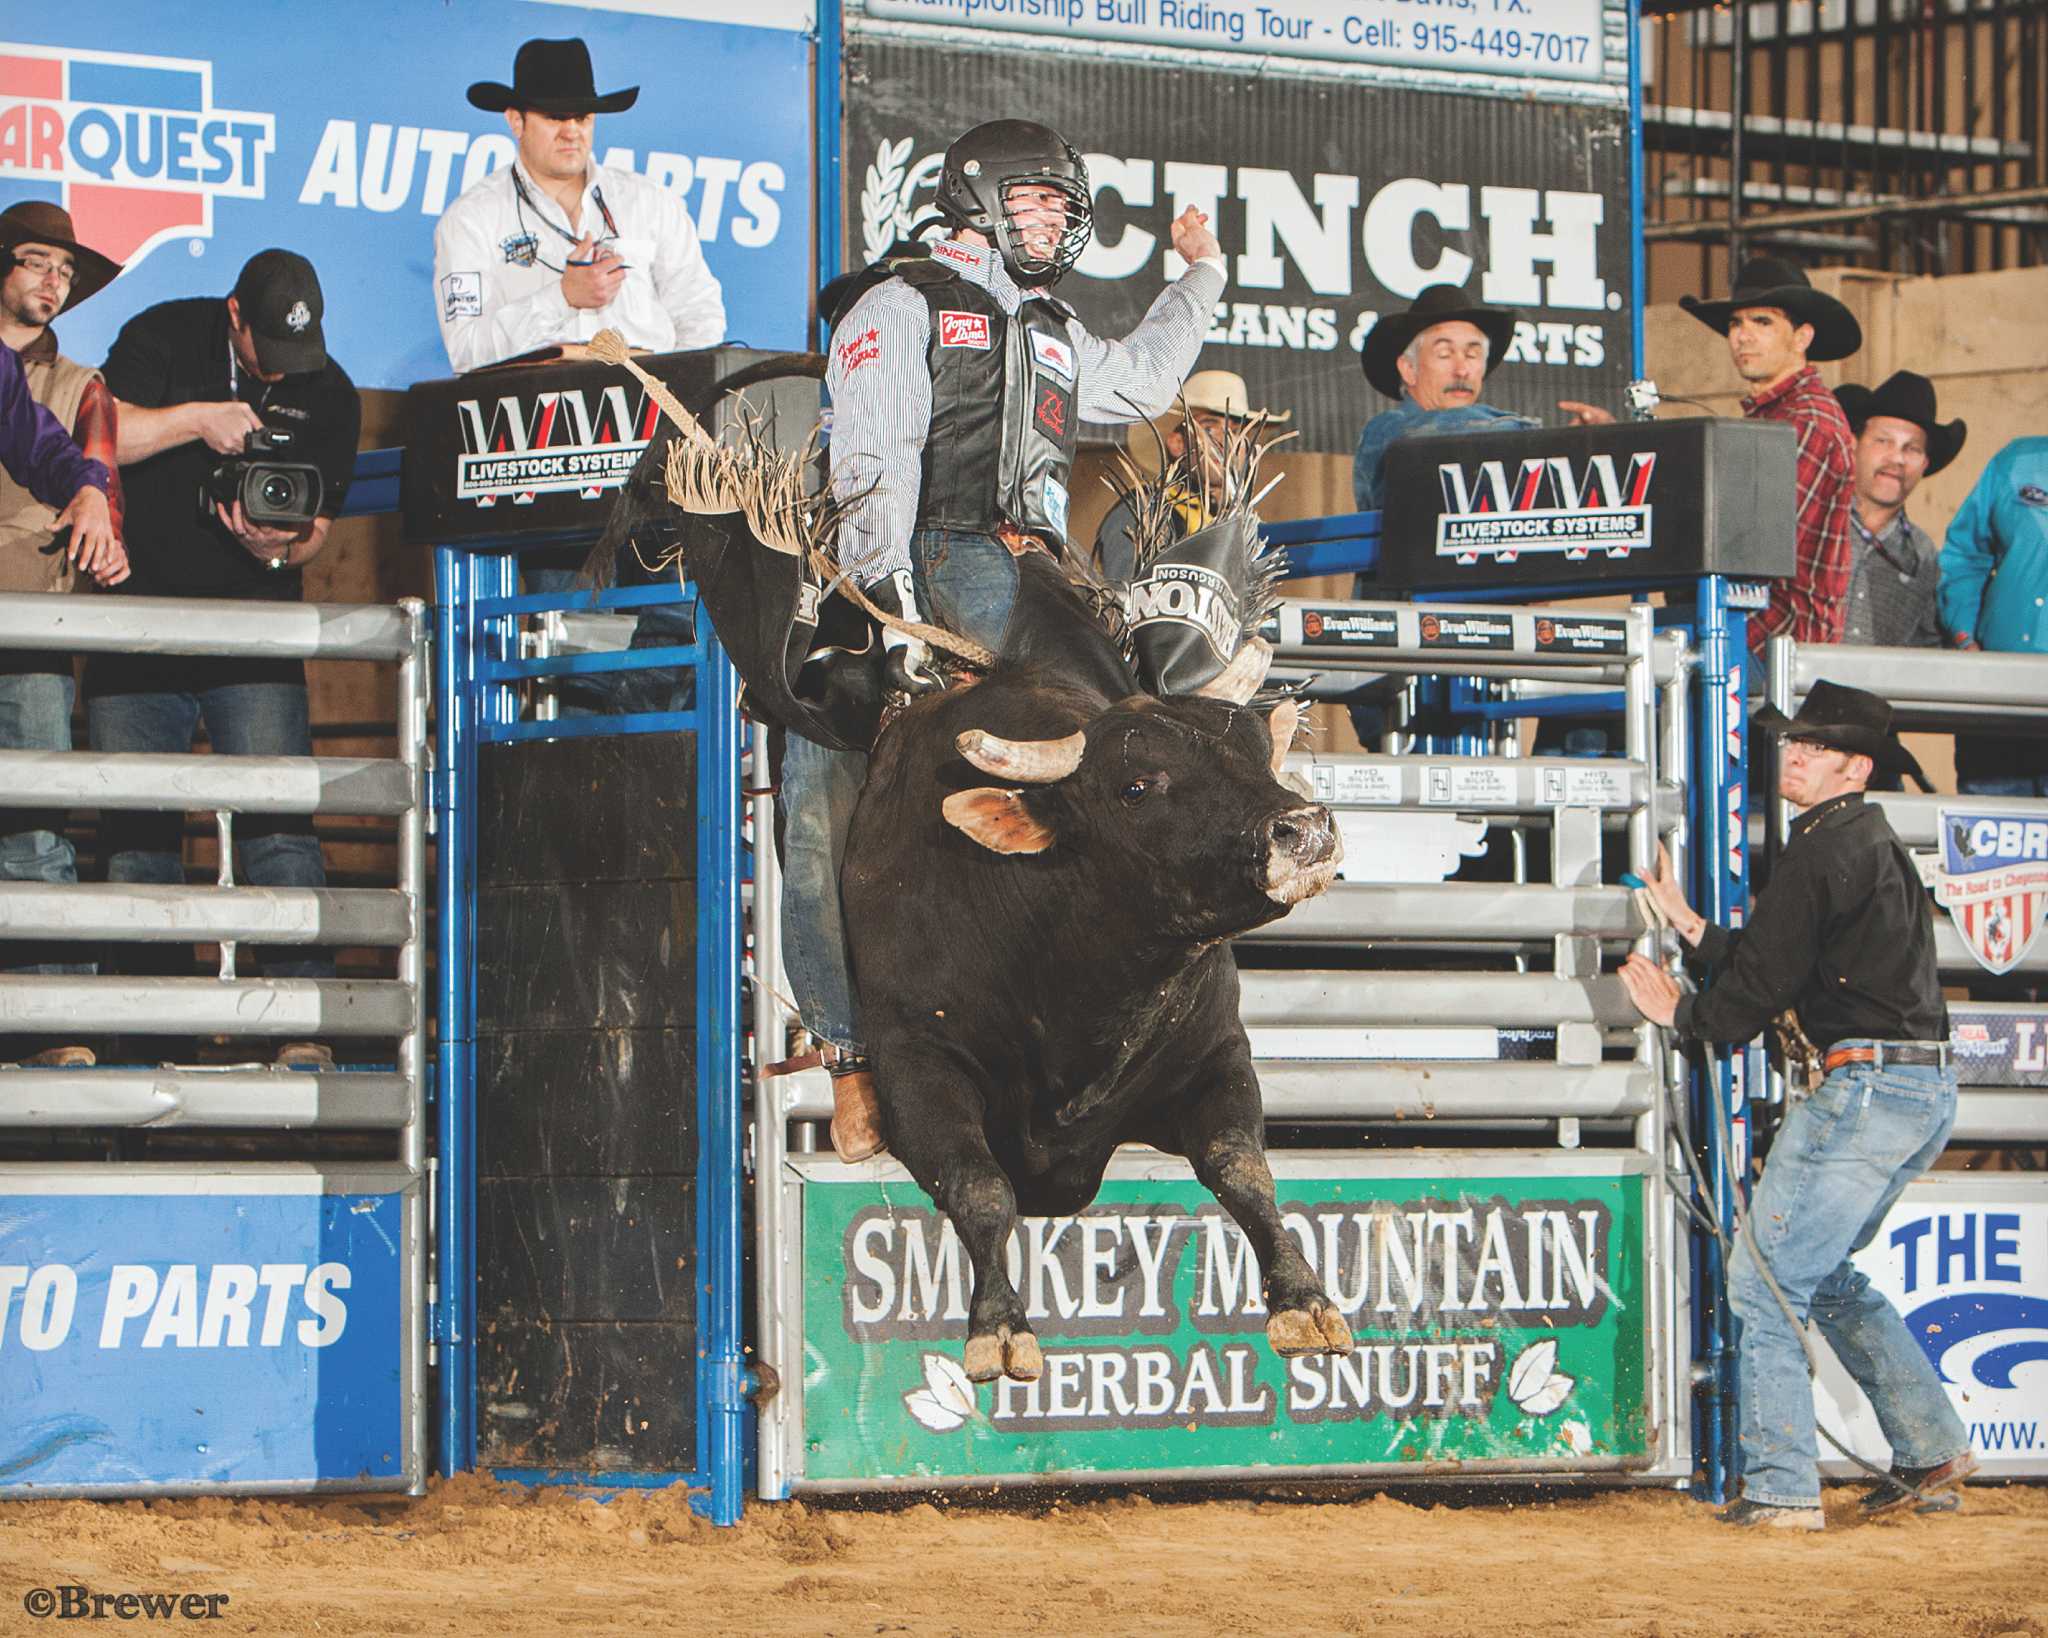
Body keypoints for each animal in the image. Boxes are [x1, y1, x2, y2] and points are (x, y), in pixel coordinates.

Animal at [593, 421, 1359, 1384]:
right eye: (1136, 785)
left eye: (1260, 752)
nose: (1304, 829)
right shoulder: (920, 1063)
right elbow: (979, 1184)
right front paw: (999, 1327)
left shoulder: (1215, 1052)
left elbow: (1242, 1167)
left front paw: (1306, 1302)